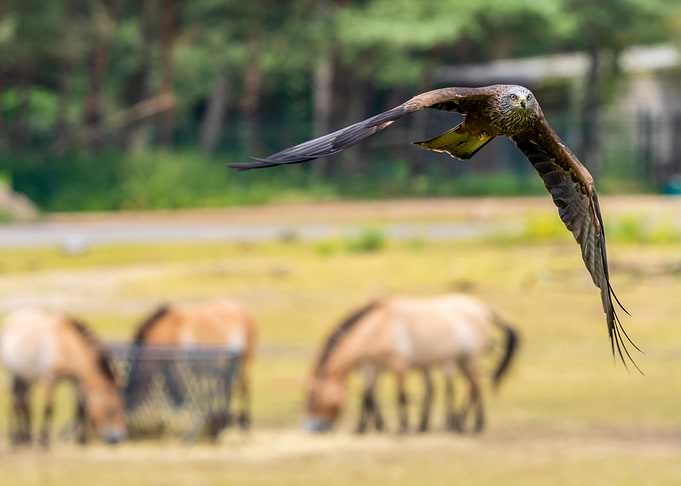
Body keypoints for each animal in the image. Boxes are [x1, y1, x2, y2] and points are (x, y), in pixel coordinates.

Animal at [0, 308, 127, 446]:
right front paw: (44, 440)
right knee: (14, 403)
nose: (118, 438)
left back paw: (25, 438)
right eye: (111, 410)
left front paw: (82, 439)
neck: (66, 347)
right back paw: (15, 438)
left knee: (23, 403)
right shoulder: (50, 378)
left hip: (26, 379)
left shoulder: (76, 381)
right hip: (13, 375)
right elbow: (49, 408)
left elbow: (80, 408)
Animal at [123, 299, 256, 436]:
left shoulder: (176, 369)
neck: (166, 333)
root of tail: (246, 313)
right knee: (230, 389)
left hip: (244, 363)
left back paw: (245, 424)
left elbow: (177, 397)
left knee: (244, 388)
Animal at [304, 294, 520, 434]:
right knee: (470, 387)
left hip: (469, 359)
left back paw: (464, 424)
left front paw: (402, 427)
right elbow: (367, 396)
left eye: (314, 397)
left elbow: (400, 396)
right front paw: (365, 427)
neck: (379, 327)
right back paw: (465, 423)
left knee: (473, 386)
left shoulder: (398, 366)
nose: (313, 428)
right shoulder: (373, 366)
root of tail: (485, 311)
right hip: (460, 361)